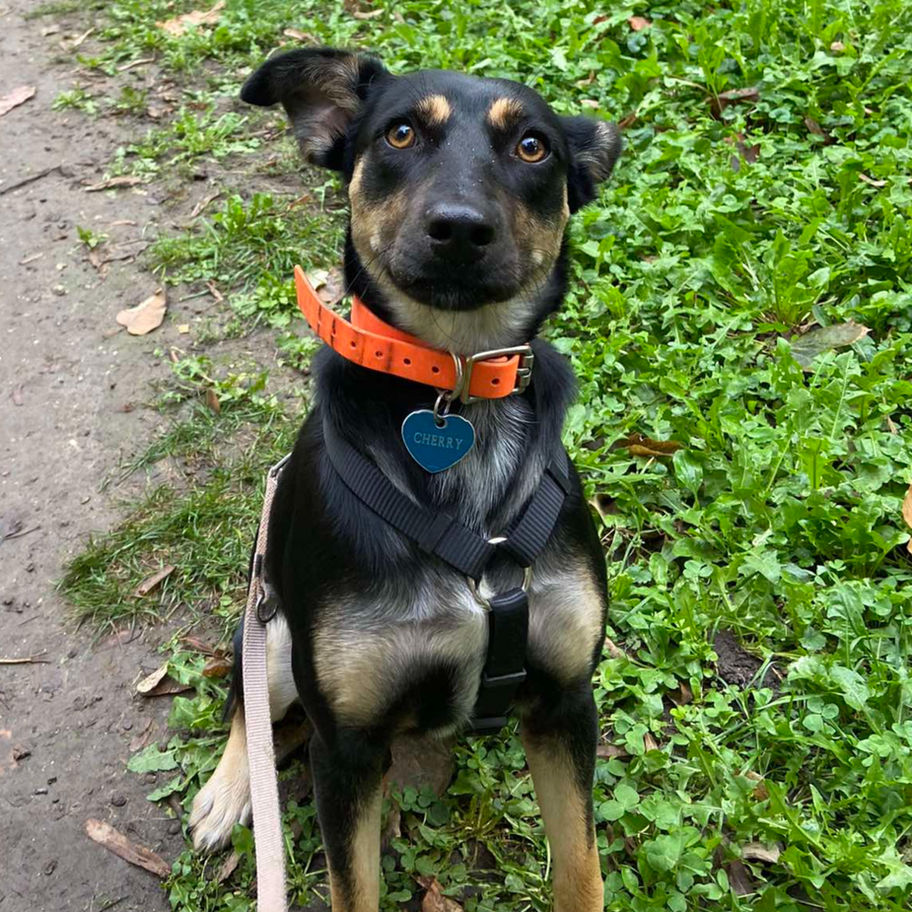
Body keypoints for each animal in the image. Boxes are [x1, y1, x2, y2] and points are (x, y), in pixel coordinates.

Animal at [188, 47, 621, 912]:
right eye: (399, 133)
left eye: (533, 148)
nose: (459, 227)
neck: (453, 381)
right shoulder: (347, 745)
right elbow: (352, 885)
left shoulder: (566, 703)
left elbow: (580, 870)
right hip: (270, 630)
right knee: (247, 704)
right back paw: (230, 790)